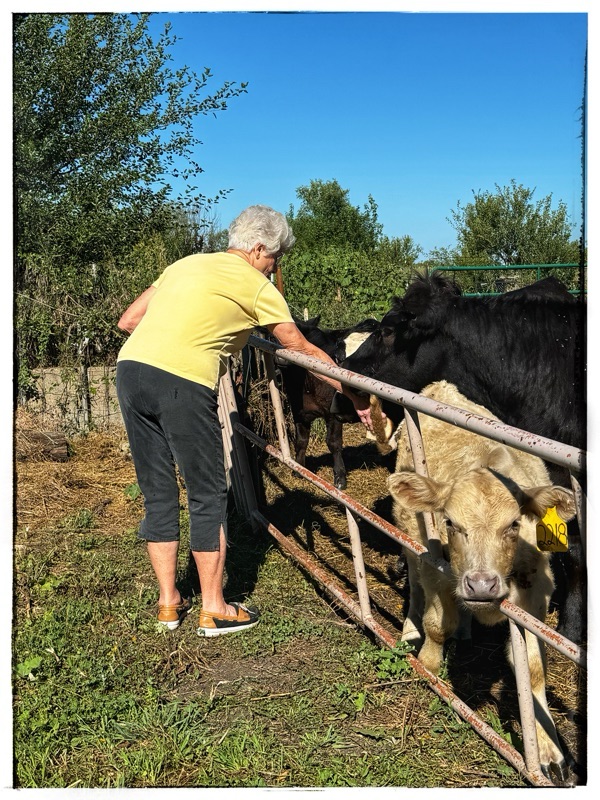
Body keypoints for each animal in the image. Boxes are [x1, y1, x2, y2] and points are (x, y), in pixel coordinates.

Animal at [277, 316, 379, 489]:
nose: (282, 358)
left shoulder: (333, 414)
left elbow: (333, 443)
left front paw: (339, 478)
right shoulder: (298, 411)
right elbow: (301, 441)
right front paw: (298, 469)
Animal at [386, 381, 576, 781]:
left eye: (514, 524)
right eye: (450, 522)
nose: (481, 585)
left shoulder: (535, 597)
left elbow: (534, 669)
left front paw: (549, 749)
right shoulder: (435, 569)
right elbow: (436, 625)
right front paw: (428, 665)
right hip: (409, 536)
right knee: (415, 587)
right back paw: (410, 629)